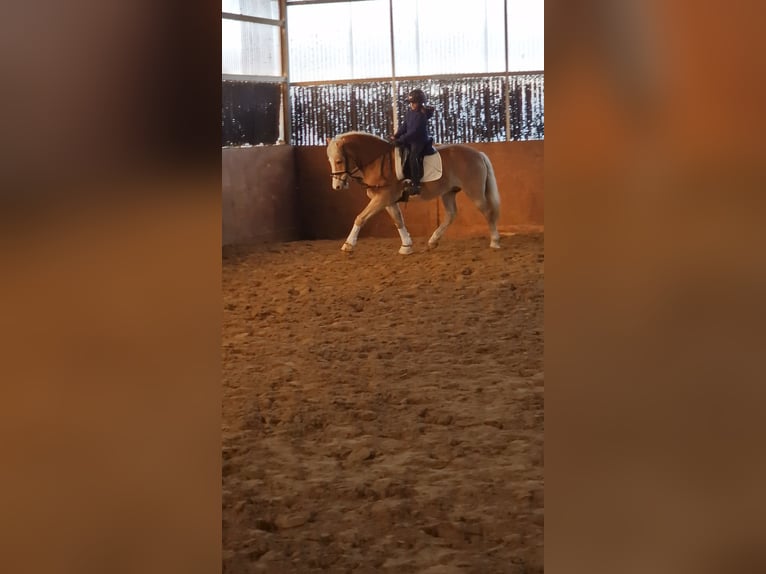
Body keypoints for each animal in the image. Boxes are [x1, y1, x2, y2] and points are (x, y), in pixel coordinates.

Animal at [326, 133, 500, 256]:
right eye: (330, 161)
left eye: (339, 161)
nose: (337, 186)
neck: (377, 162)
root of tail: (478, 154)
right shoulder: (388, 200)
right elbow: (398, 221)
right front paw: (406, 246)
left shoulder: (383, 198)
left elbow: (360, 218)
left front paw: (348, 245)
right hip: (448, 192)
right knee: (451, 214)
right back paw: (432, 241)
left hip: (474, 192)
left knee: (488, 212)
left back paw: (495, 242)